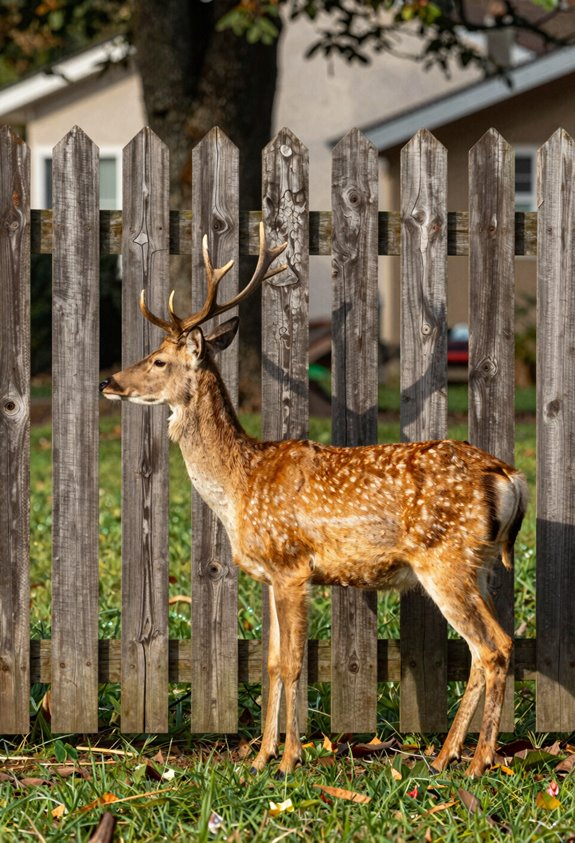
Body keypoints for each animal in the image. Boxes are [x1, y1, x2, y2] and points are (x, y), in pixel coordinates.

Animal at [100, 222, 528, 778]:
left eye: (159, 359)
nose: (109, 381)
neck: (239, 485)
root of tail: (508, 476)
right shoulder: (266, 575)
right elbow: (270, 662)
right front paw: (260, 758)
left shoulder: (291, 565)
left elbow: (291, 662)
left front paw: (288, 759)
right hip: (476, 565)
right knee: (488, 649)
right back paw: (445, 755)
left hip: (446, 560)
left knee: (493, 648)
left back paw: (477, 764)